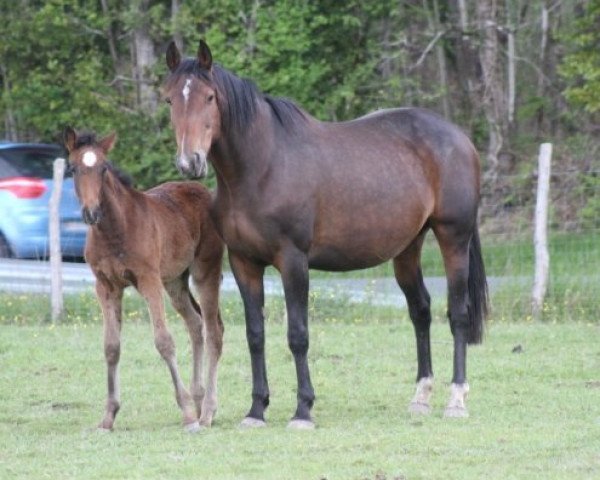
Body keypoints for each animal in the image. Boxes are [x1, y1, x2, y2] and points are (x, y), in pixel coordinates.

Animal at [63, 126, 225, 432]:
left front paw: (187, 415)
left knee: (214, 331)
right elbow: (111, 346)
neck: (115, 230)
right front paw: (108, 417)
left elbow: (164, 341)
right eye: (73, 168)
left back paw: (206, 411)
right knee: (195, 324)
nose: (91, 213)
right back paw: (199, 401)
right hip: (175, 281)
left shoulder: (149, 280)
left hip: (204, 270)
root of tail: (202, 190)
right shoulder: (106, 286)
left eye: (103, 168)